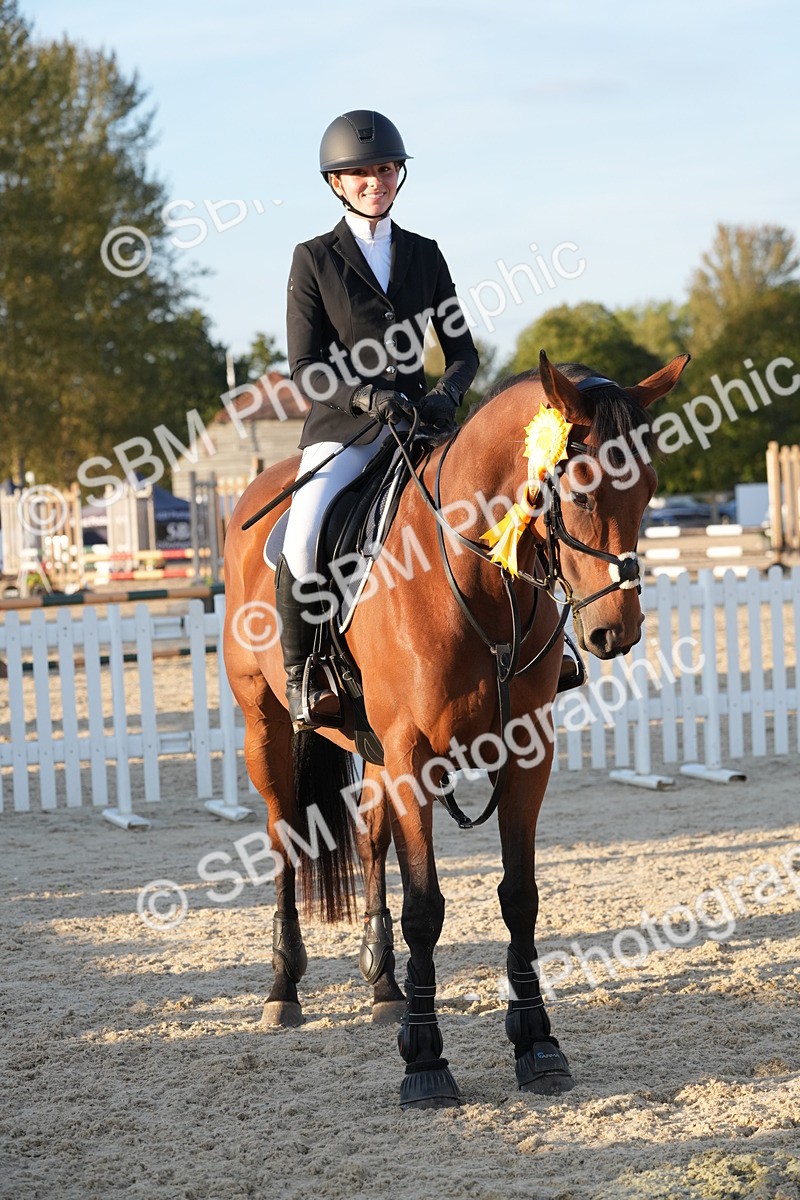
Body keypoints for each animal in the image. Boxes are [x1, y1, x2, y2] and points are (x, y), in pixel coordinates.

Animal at [222, 349, 690, 1107]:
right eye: (582, 492)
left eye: (647, 490)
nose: (614, 632)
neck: (476, 576)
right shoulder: (414, 757)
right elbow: (426, 907)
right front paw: (424, 1060)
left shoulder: (525, 751)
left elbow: (520, 896)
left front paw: (537, 1043)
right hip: (264, 724)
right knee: (285, 835)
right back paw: (282, 988)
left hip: (372, 749)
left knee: (369, 835)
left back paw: (384, 984)